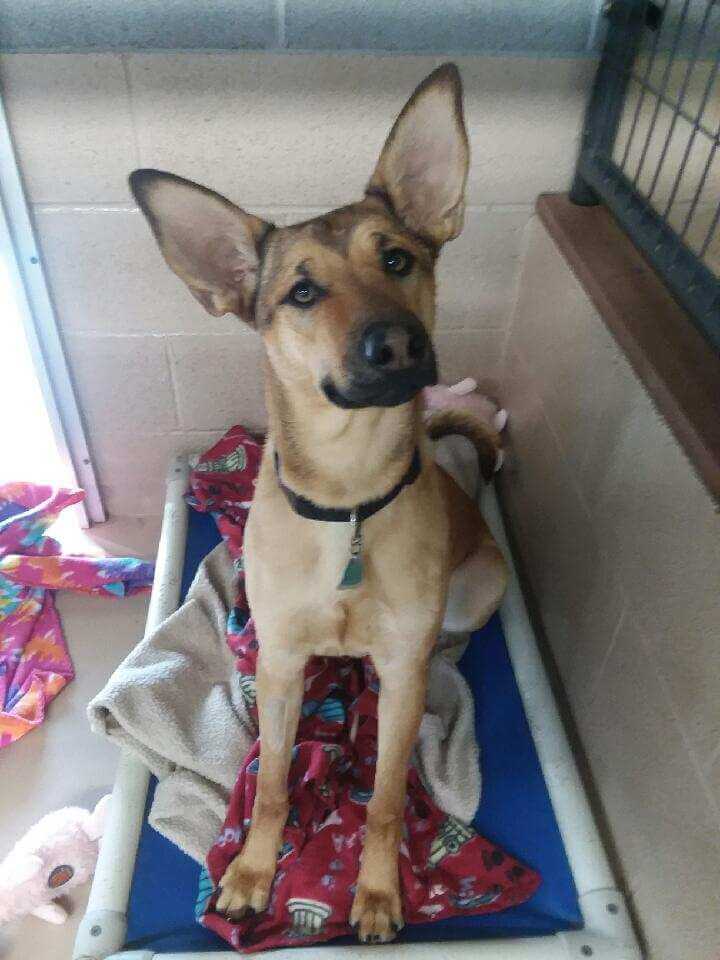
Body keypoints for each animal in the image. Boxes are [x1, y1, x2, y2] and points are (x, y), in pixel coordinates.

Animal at [130, 62, 508, 944]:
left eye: (398, 259)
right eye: (302, 292)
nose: (396, 343)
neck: (350, 499)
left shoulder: (398, 675)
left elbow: (385, 800)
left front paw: (375, 891)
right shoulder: (279, 664)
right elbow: (270, 781)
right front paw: (250, 873)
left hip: (479, 587)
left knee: (445, 647)